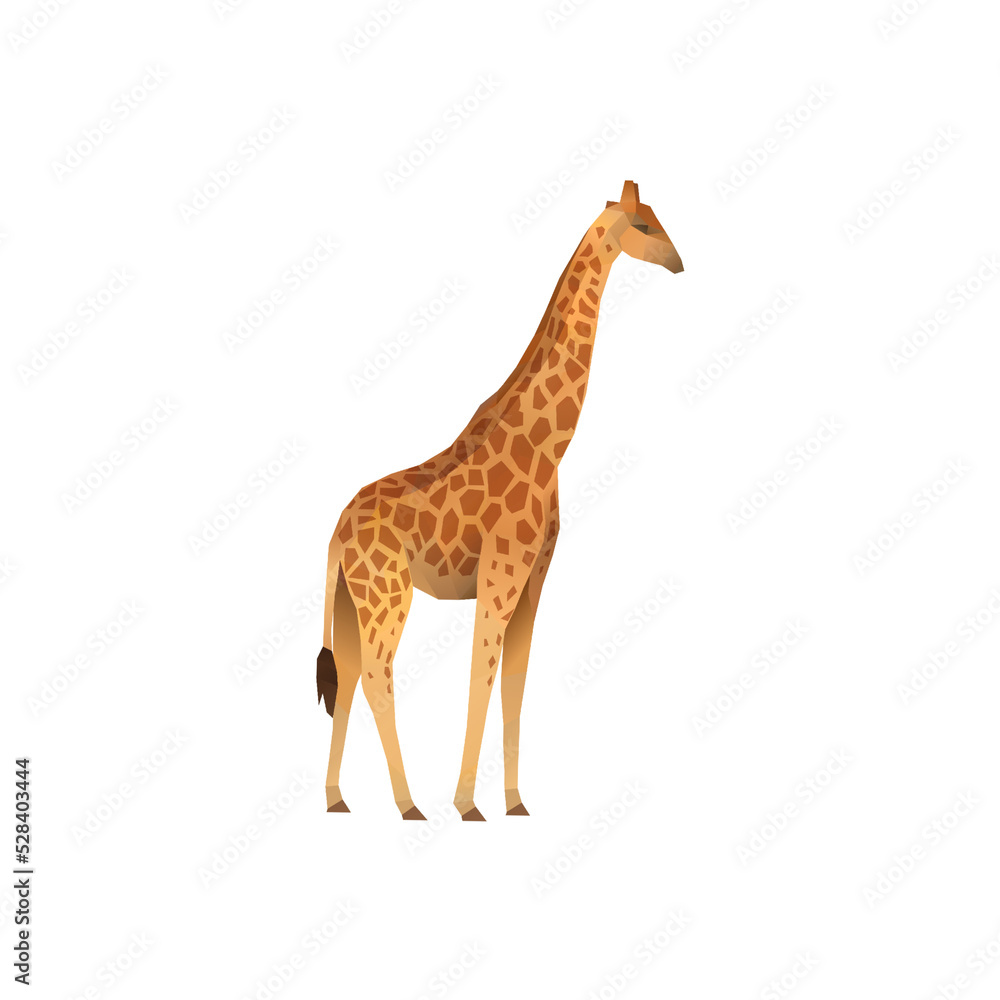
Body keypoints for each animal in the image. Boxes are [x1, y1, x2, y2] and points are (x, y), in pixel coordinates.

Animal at [317, 180, 683, 820]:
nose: (679, 261)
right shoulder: (500, 575)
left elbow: (514, 685)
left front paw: (515, 803)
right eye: (643, 224)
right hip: (388, 593)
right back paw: (409, 804)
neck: (547, 444)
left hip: (351, 597)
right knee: (377, 676)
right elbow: (480, 681)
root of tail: (336, 531)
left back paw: (338, 799)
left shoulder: (534, 580)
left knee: (348, 673)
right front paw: (467, 804)